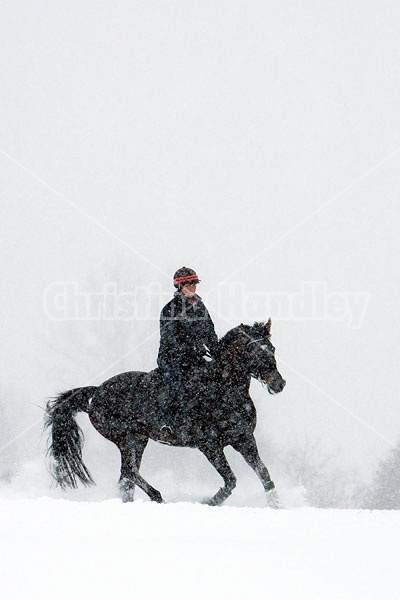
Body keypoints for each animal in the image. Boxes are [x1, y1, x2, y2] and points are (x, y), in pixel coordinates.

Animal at [45, 322, 286, 504]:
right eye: (255, 350)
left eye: (272, 348)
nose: (279, 384)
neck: (222, 389)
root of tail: (97, 392)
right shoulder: (210, 446)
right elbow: (230, 481)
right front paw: (207, 502)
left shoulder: (244, 439)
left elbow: (264, 474)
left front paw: (276, 506)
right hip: (124, 439)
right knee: (129, 472)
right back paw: (158, 496)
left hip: (138, 441)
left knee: (126, 479)